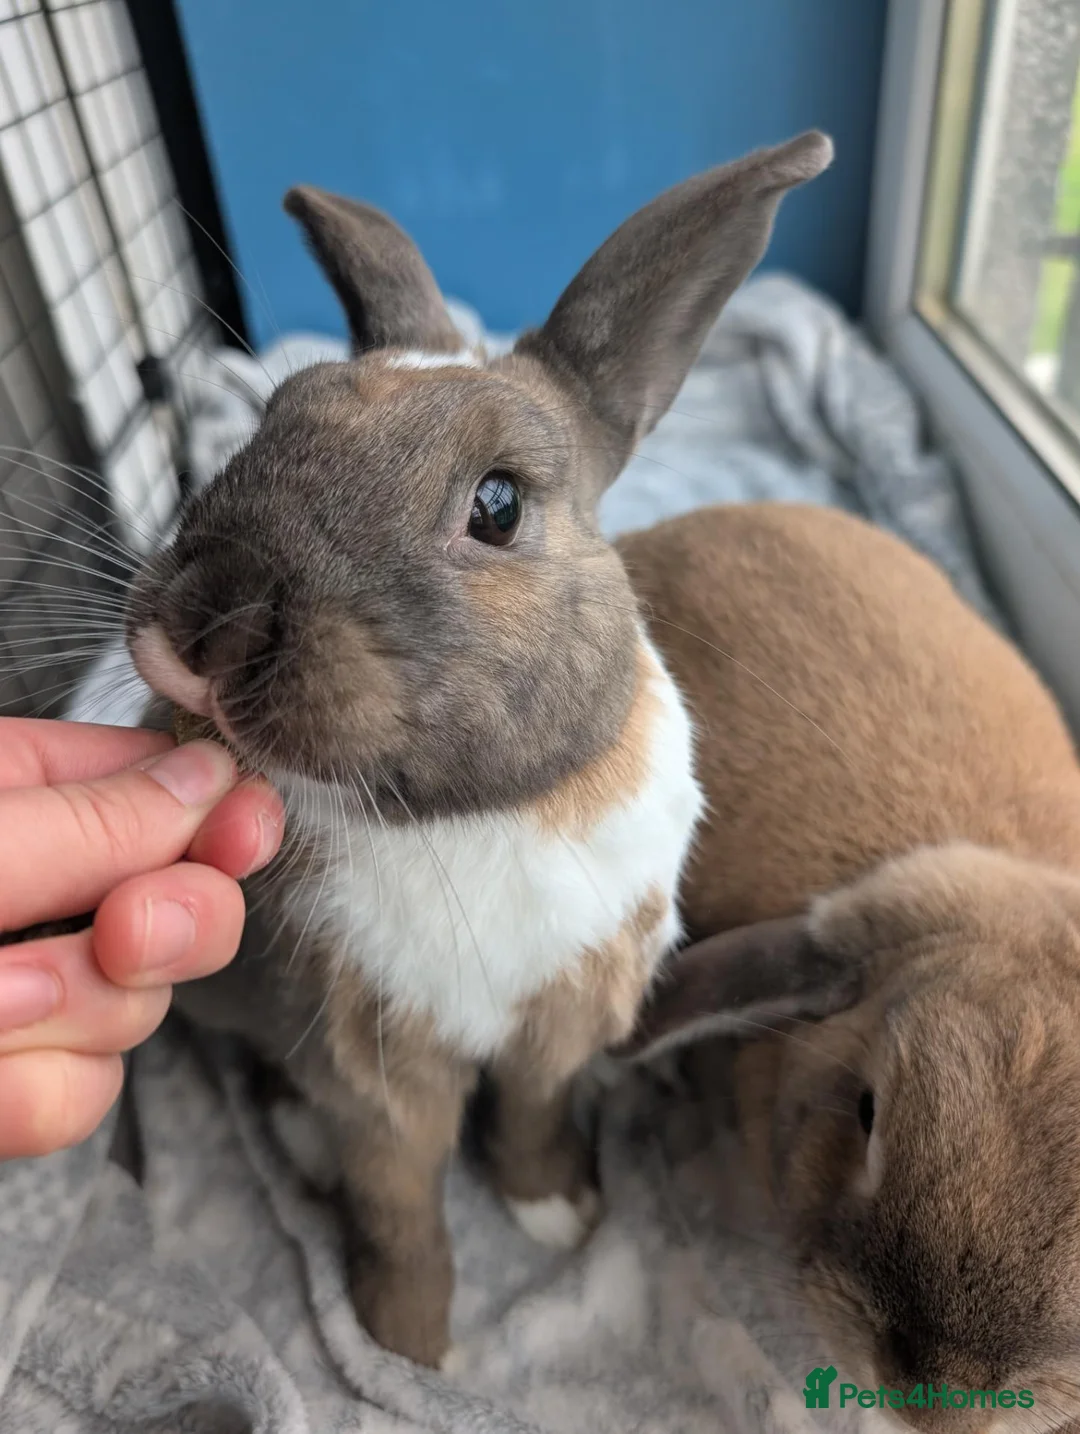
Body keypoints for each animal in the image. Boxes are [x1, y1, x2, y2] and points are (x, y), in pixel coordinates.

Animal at [119, 132, 834, 1368]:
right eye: (269, 422)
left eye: (498, 505)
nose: (205, 631)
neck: (470, 815)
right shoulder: (370, 1069)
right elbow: (400, 1205)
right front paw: (407, 1347)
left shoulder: (561, 1022)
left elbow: (532, 1122)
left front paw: (556, 1215)